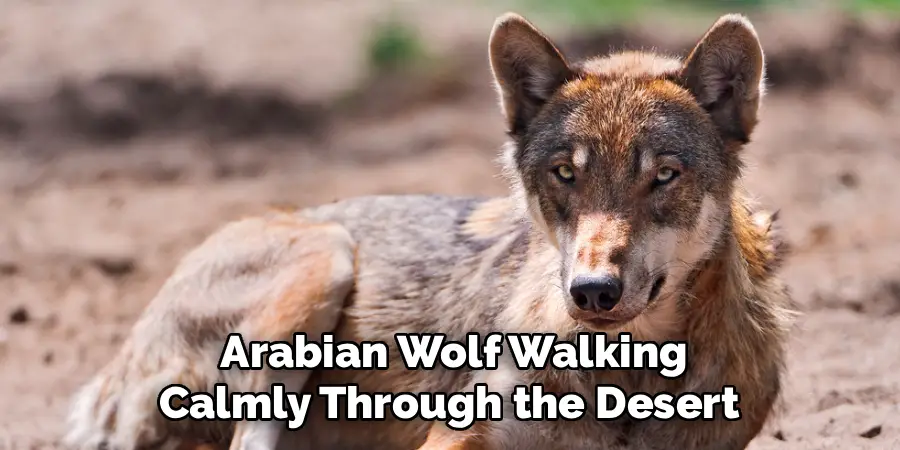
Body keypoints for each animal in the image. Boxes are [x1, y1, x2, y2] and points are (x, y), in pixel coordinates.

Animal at [65, 11, 795, 450]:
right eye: (565, 173)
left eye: (663, 176)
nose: (592, 291)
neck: (626, 383)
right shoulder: (455, 434)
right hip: (322, 264)